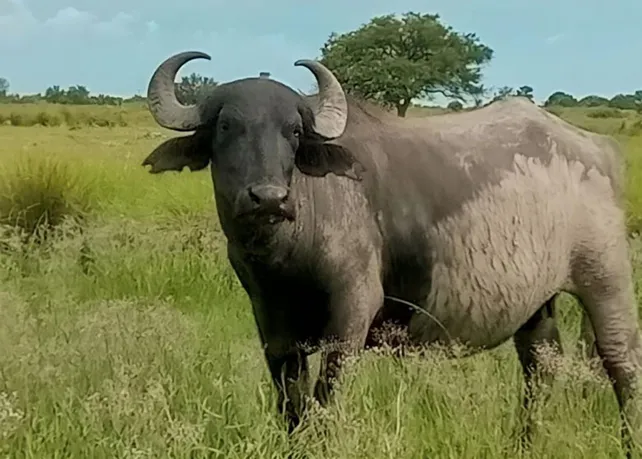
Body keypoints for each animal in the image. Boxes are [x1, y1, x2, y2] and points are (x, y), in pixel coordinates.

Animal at [142, 51, 642, 455]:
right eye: (227, 126)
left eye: (294, 131)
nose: (268, 198)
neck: (285, 257)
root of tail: (598, 149)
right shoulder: (274, 329)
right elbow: (292, 407)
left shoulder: (351, 316)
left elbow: (324, 399)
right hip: (538, 307)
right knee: (540, 369)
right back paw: (523, 444)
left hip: (605, 280)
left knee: (623, 364)